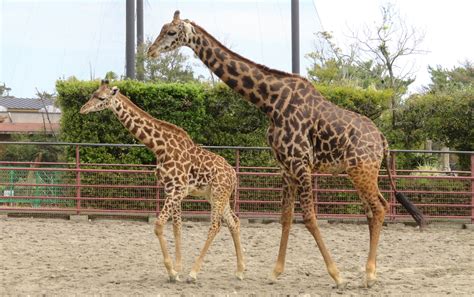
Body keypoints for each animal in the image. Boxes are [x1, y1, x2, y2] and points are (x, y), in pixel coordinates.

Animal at [148, 11, 426, 286]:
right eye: (160, 29)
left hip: (362, 171)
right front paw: (275, 272)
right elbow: (285, 217)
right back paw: (370, 273)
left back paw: (368, 275)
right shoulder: (286, 167)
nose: (151, 51)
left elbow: (310, 218)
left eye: (171, 32)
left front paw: (336, 275)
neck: (271, 103)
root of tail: (382, 139)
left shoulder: (301, 163)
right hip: (360, 172)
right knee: (374, 209)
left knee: (378, 208)